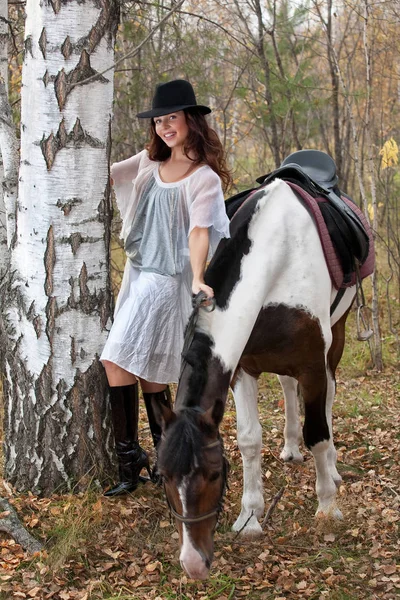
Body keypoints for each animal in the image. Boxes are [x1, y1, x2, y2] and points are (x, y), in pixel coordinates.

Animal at [155, 176, 366, 580]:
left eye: (215, 475)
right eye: (164, 476)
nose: (193, 563)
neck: (277, 252)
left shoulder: (312, 364)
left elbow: (318, 433)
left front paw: (327, 507)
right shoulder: (244, 367)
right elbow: (249, 439)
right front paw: (249, 516)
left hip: (337, 336)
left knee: (330, 396)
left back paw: (331, 470)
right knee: (287, 386)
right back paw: (290, 447)